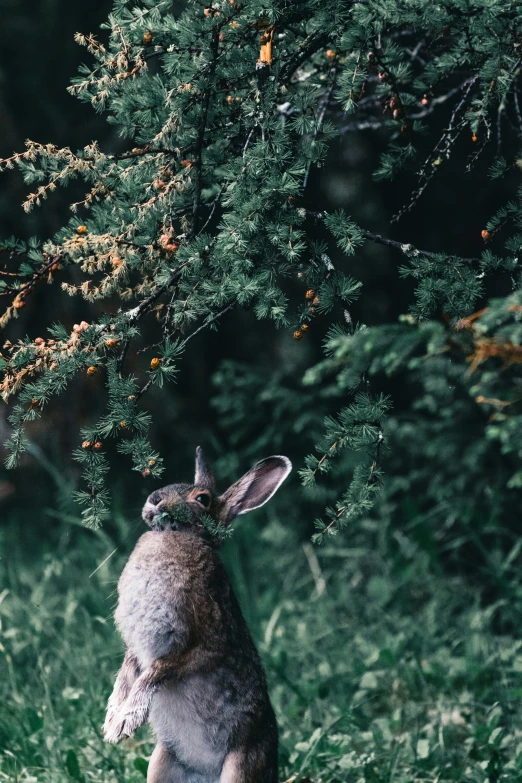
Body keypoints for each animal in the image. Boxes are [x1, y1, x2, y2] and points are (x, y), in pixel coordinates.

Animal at [99, 448, 290, 783]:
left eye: (202, 499)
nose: (154, 498)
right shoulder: (135, 645)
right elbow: (125, 674)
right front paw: (111, 720)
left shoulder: (197, 645)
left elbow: (153, 674)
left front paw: (125, 722)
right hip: (161, 762)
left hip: (239, 766)